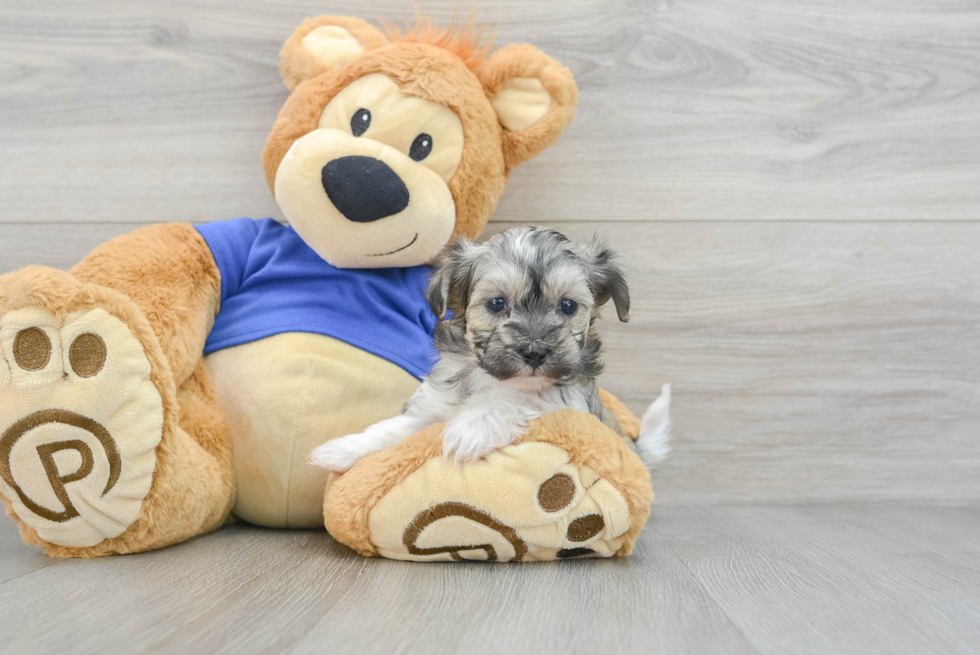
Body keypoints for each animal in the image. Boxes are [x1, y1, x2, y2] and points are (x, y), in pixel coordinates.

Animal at [310, 226, 668, 472]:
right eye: (496, 303)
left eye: (568, 306)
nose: (535, 352)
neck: (496, 380)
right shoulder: (436, 406)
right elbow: (399, 427)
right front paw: (342, 449)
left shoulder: (569, 403)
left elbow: (524, 400)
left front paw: (471, 428)